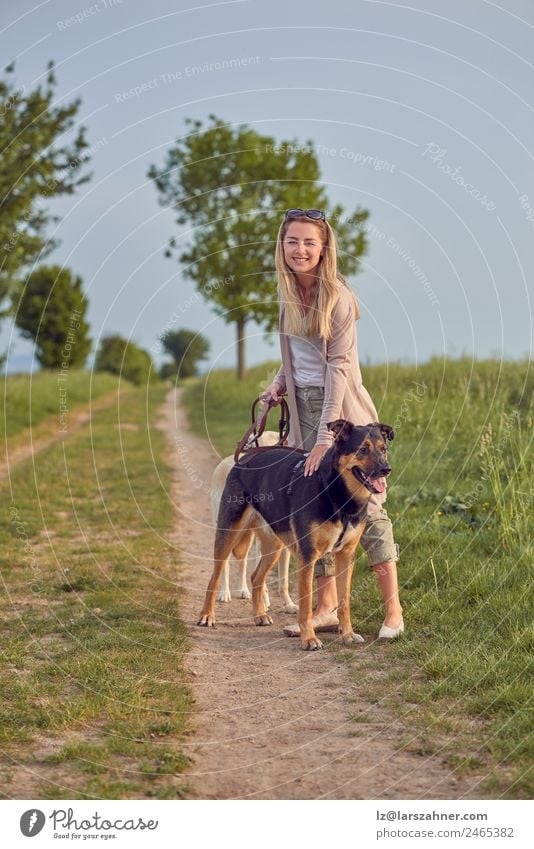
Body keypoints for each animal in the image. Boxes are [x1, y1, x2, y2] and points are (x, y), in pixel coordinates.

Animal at [211, 430, 300, 608]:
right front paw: (263, 601)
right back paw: (224, 593)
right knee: (225, 563)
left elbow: (283, 579)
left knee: (242, 561)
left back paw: (244, 590)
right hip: (226, 528)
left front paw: (288, 605)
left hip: (248, 535)